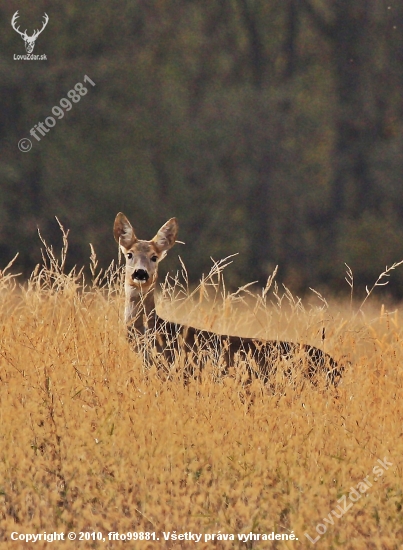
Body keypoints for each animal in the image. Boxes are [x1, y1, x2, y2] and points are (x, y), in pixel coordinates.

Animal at [113, 213, 344, 390]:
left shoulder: (178, 373)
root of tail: (338, 366)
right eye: (129, 254)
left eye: (154, 256)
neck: (153, 334)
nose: (140, 273)